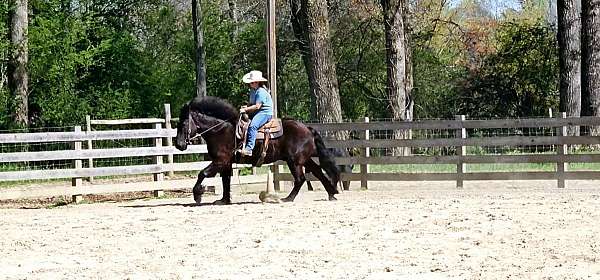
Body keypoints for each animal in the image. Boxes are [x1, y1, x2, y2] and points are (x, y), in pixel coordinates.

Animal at [176, 95, 340, 203]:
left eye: (183, 124)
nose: (179, 144)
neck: (221, 130)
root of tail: (307, 129)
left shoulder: (220, 161)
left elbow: (202, 173)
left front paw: (198, 194)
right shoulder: (226, 163)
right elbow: (225, 180)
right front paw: (224, 200)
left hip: (294, 161)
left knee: (301, 179)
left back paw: (288, 198)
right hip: (304, 159)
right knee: (318, 172)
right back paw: (331, 194)